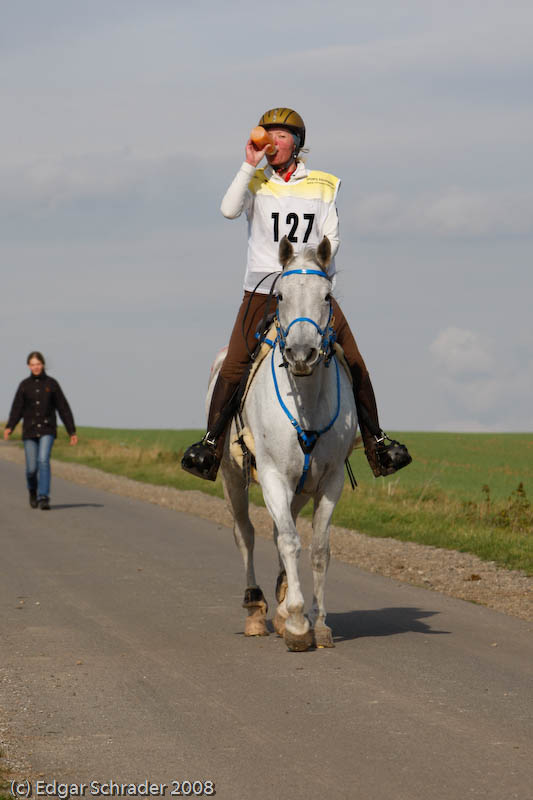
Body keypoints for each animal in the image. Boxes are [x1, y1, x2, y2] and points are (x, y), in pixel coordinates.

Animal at [209, 236, 358, 648]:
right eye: (280, 296)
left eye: (327, 296)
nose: (302, 354)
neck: (305, 400)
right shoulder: (274, 476)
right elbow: (290, 542)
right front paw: (295, 624)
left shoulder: (329, 481)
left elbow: (318, 548)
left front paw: (318, 623)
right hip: (232, 478)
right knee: (246, 534)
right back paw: (256, 610)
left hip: (299, 488)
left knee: (278, 530)